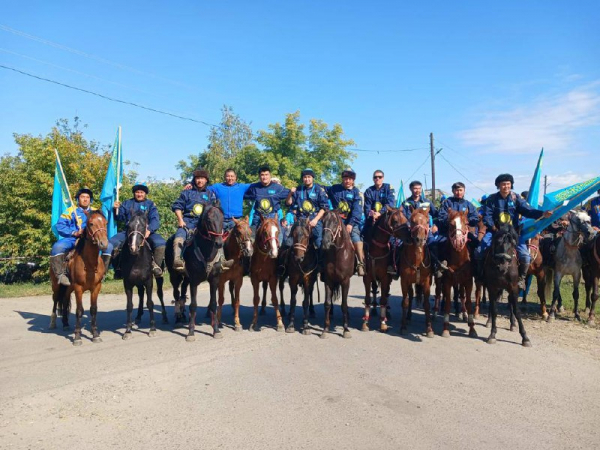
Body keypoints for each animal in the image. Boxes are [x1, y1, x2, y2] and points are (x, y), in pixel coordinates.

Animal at [50, 209, 109, 346]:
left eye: (106, 223)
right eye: (91, 223)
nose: (103, 243)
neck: (89, 264)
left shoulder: (96, 287)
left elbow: (93, 309)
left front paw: (95, 334)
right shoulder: (78, 288)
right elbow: (79, 311)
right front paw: (77, 337)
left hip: (69, 287)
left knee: (65, 299)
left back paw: (65, 323)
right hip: (56, 285)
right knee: (55, 299)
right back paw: (53, 322)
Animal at [165, 205, 233, 342]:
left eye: (222, 218)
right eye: (208, 219)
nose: (219, 243)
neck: (206, 252)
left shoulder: (214, 280)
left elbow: (213, 304)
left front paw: (216, 330)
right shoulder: (194, 282)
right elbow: (193, 305)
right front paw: (191, 332)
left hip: (186, 279)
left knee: (182, 294)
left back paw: (182, 315)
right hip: (174, 276)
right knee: (176, 295)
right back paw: (178, 318)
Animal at [318, 210, 356, 338]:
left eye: (335, 222)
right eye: (323, 221)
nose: (325, 243)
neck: (337, 253)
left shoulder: (345, 281)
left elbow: (344, 304)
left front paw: (346, 329)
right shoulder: (328, 280)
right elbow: (327, 303)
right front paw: (325, 329)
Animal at [398, 206, 432, 336]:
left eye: (427, 222)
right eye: (412, 221)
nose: (420, 239)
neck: (417, 261)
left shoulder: (426, 282)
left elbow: (426, 304)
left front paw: (429, 328)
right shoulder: (404, 281)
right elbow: (405, 301)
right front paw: (403, 326)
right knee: (411, 296)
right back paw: (407, 317)